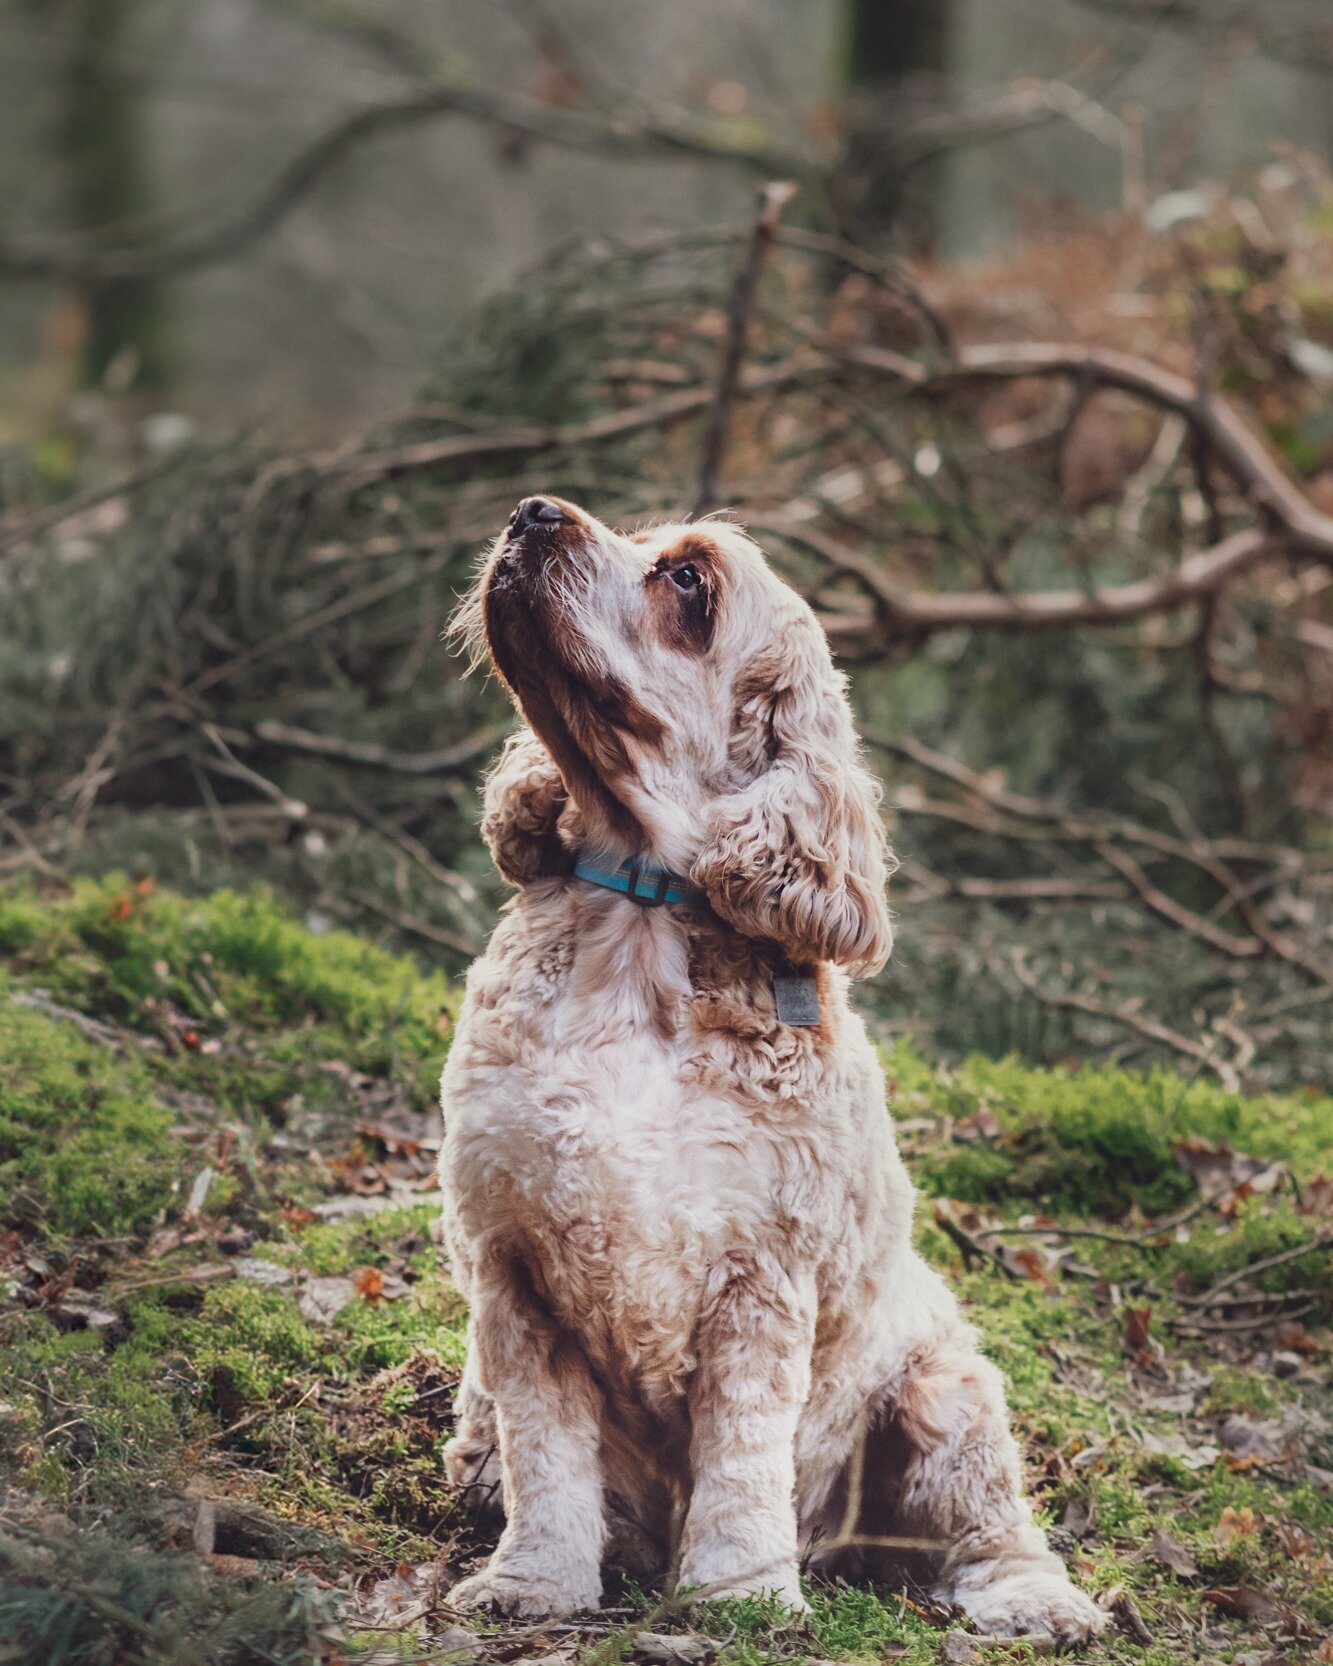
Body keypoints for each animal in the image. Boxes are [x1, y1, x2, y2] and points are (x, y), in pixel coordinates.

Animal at [436, 493, 1106, 1639]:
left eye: (688, 581)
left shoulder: (759, 1278)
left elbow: (742, 1458)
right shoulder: (515, 1265)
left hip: (944, 1392)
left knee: (991, 1526)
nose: (531, 510)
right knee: (493, 1445)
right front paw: (534, 1584)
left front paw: (739, 1593)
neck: (638, 935)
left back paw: (1037, 1600)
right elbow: (547, 1456)